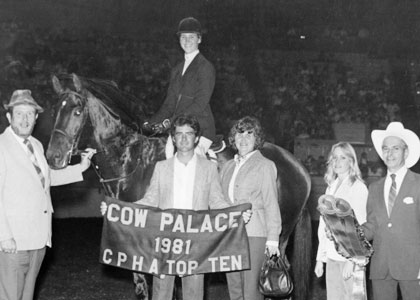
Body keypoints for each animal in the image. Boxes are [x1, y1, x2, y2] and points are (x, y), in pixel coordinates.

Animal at [46, 73, 312, 300]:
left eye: (77, 111)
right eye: (55, 111)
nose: (53, 157)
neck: (131, 162)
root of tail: (295, 164)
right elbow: (143, 286)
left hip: (278, 237)